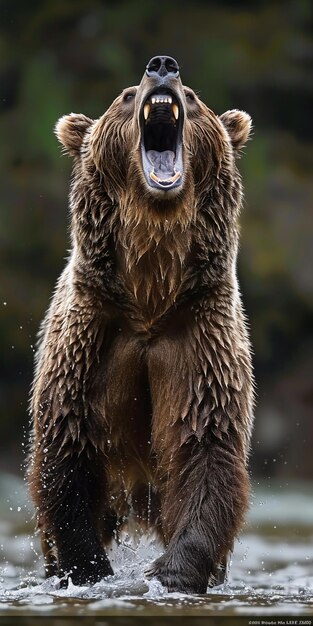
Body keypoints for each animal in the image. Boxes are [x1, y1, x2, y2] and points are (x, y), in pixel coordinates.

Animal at [27, 56, 254, 592]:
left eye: (193, 97)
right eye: (127, 95)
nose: (163, 66)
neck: (151, 290)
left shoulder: (200, 338)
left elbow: (206, 446)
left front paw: (172, 571)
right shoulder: (91, 340)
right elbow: (67, 455)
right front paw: (88, 567)